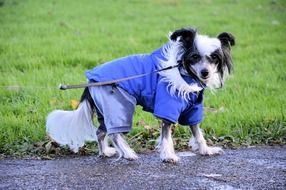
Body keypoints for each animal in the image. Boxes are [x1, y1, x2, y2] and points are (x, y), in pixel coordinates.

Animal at [46, 27, 235, 163]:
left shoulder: (192, 110)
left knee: (100, 132)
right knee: (115, 133)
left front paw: (206, 150)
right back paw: (128, 153)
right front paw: (168, 156)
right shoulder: (167, 108)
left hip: (105, 110)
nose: (205, 72)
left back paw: (105, 152)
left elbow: (197, 132)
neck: (185, 74)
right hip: (119, 105)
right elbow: (166, 136)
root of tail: (91, 81)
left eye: (214, 58)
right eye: (195, 57)